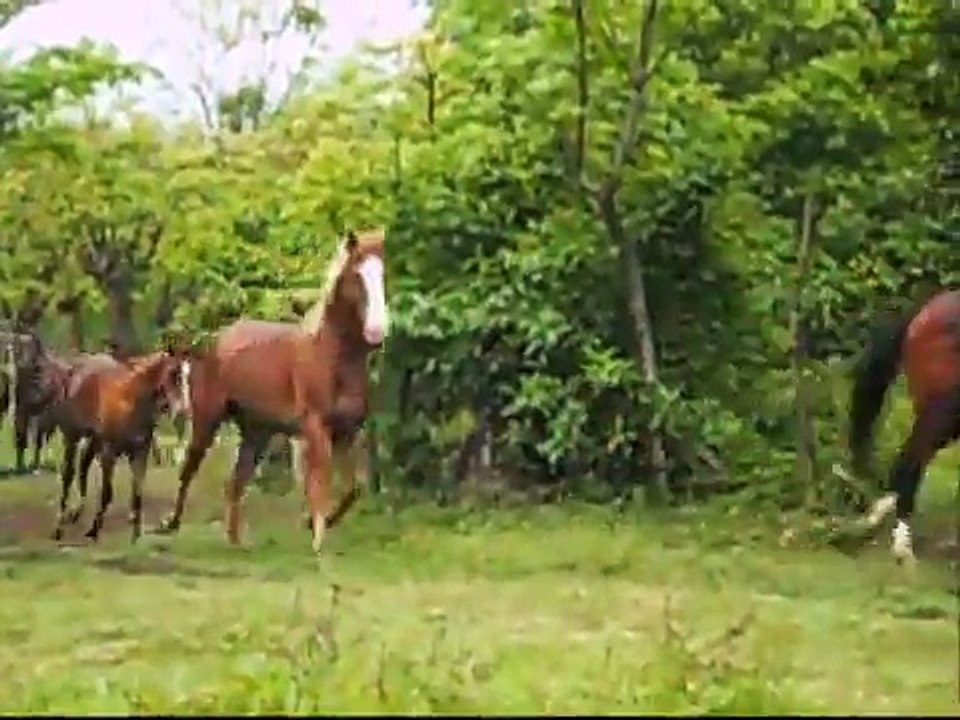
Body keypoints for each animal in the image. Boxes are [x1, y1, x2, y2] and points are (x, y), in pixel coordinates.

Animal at [49, 347, 191, 543]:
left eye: (188, 376)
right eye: (174, 374)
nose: (185, 413)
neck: (132, 403)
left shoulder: (139, 454)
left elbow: (138, 493)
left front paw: (136, 535)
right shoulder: (109, 453)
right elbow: (107, 493)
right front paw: (93, 531)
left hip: (93, 441)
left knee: (83, 467)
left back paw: (76, 513)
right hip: (72, 437)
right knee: (68, 476)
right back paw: (59, 526)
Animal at [154, 228, 389, 554]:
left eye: (382, 274)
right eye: (357, 275)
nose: (377, 331)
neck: (330, 356)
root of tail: (213, 341)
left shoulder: (347, 431)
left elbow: (352, 489)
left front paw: (314, 524)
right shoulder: (315, 428)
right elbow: (319, 484)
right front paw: (317, 539)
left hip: (257, 432)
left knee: (235, 482)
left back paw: (236, 541)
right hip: (207, 420)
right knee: (189, 469)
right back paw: (170, 524)